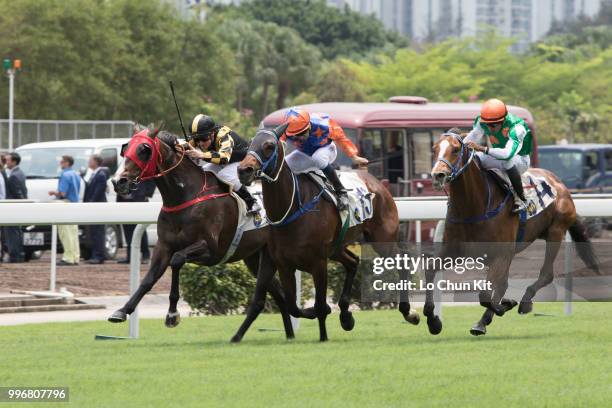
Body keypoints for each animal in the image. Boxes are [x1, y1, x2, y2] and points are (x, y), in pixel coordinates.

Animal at [111, 126, 296, 342]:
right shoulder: (163, 246)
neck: (185, 196)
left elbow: (177, 259)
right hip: (255, 257)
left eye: (144, 150)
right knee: (278, 295)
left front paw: (172, 314)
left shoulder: (210, 249)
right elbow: (149, 279)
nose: (119, 181)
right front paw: (122, 311)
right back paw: (289, 335)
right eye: (126, 148)